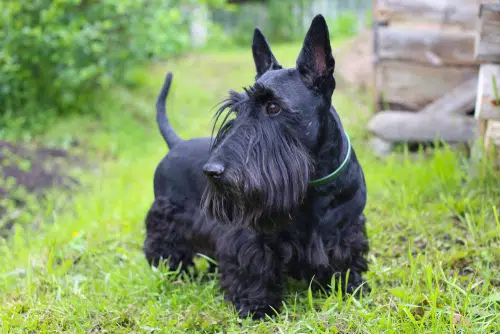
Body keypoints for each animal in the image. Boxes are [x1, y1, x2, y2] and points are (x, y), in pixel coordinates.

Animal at [143, 14, 370, 320]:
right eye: (238, 110)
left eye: (273, 107)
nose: (212, 171)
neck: (313, 185)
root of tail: (175, 143)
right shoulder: (249, 236)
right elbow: (253, 266)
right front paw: (256, 306)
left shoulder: (345, 229)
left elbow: (346, 258)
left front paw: (350, 287)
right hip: (167, 218)